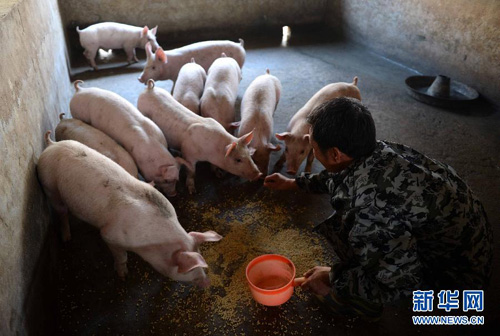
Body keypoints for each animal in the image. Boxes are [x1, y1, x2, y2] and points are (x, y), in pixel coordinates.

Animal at [37, 131, 221, 286]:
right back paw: (67, 238)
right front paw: (123, 276)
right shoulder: (110, 235)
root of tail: (52, 144)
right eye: (187, 270)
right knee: (61, 211)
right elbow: (121, 257)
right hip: (49, 186)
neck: (151, 243)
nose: (207, 283)